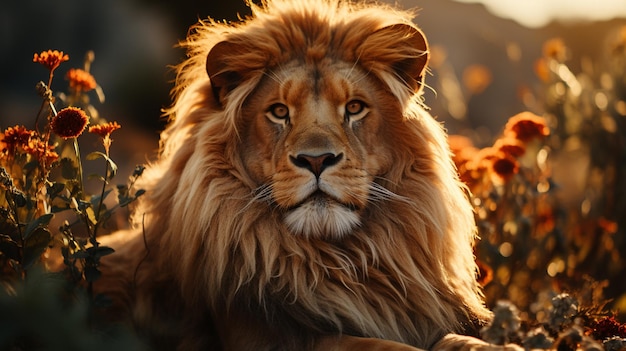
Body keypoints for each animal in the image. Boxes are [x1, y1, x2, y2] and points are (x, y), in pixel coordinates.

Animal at [97, 0, 494, 351]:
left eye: (354, 108)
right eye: (278, 111)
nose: (316, 160)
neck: (337, 260)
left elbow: (455, 339)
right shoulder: (260, 338)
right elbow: (378, 345)